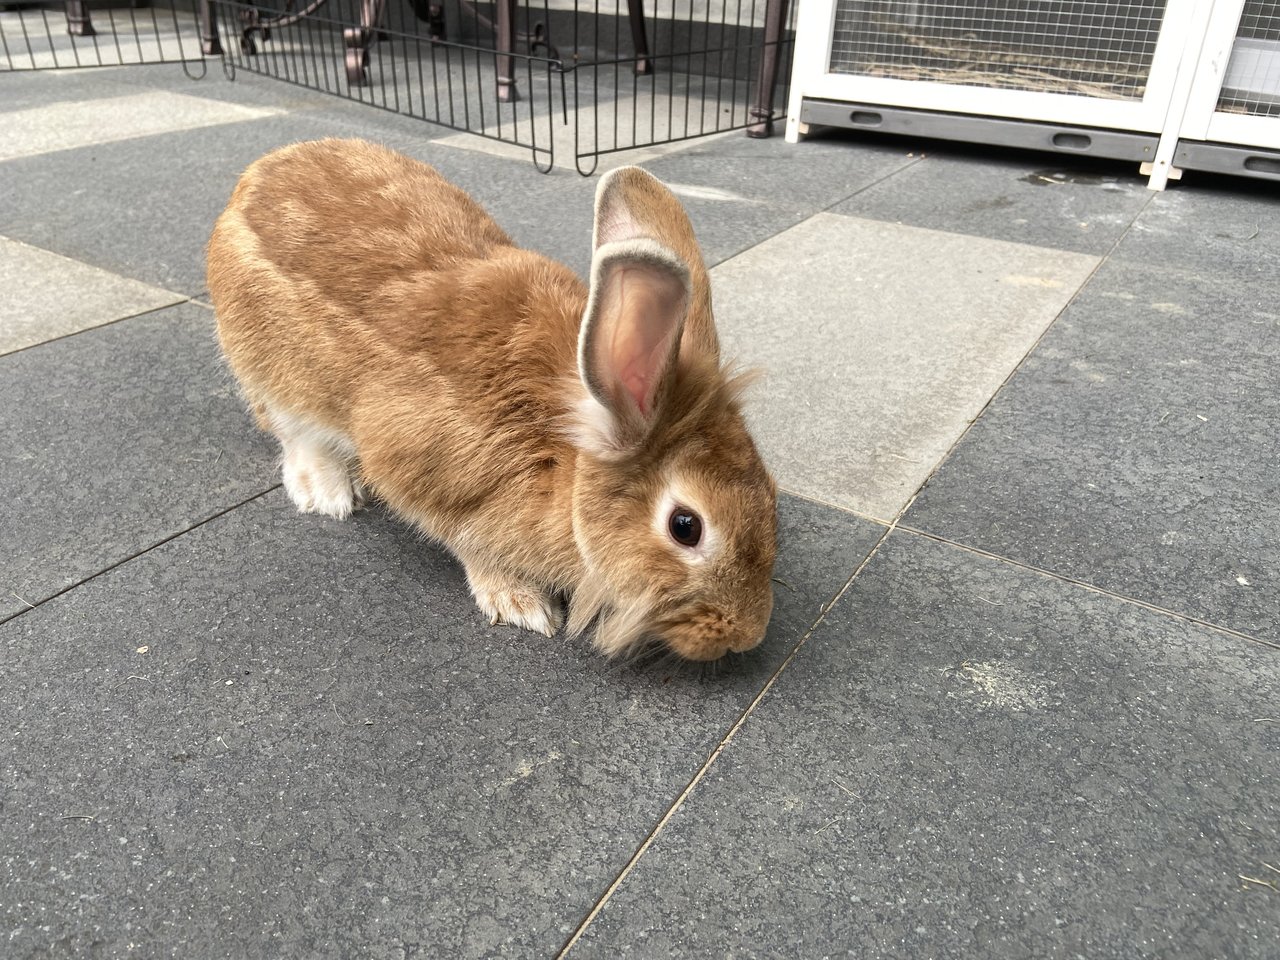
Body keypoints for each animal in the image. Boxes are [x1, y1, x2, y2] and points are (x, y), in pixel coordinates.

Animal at [207, 138, 778, 660]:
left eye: (770, 493)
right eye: (686, 527)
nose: (746, 634)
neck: (563, 452)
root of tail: (248, 181)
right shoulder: (435, 477)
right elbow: (470, 543)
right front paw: (520, 604)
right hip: (275, 374)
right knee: (295, 436)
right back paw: (327, 494)